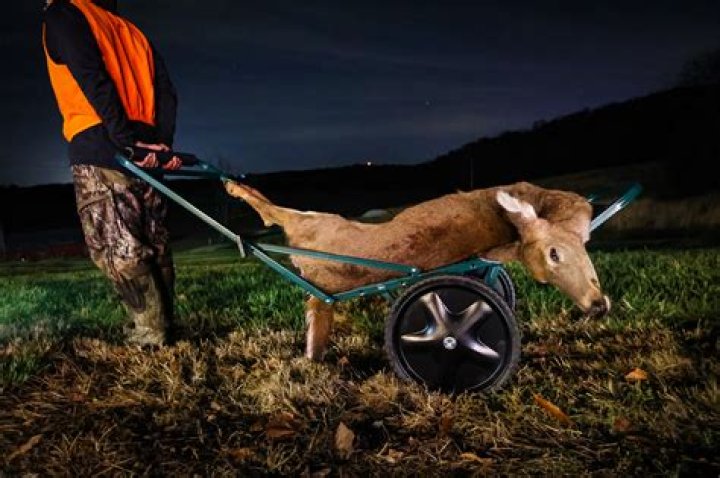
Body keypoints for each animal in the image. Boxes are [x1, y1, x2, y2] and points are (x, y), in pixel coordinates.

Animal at [224, 180, 610, 360]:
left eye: (585, 244)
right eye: (554, 254)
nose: (598, 304)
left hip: (314, 225)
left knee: (274, 213)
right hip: (315, 223)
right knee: (273, 211)